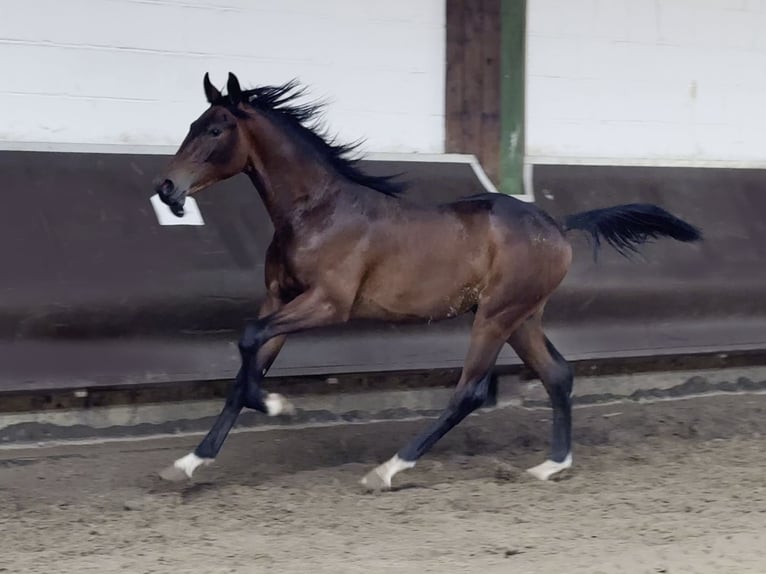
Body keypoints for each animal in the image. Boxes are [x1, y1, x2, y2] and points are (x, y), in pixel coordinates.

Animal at [153, 72, 704, 490]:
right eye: (193, 124)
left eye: (216, 129)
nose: (167, 188)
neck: (318, 211)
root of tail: (557, 224)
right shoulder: (279, 298)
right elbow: (246, 359)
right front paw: (189, 462)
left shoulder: (328, 303)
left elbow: (248, 340)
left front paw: (277, 405)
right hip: (522, 317)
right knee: (558, 375)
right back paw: (551, 466)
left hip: (496, 315)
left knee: (470, 392)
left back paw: (389, 469)